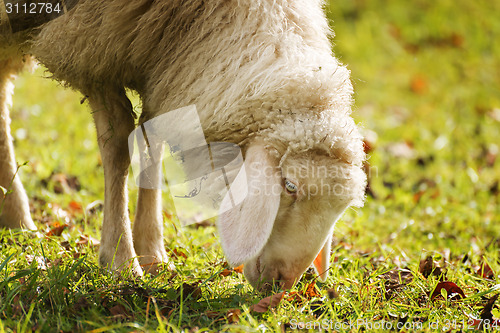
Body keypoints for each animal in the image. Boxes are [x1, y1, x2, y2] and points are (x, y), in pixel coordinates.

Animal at [0, 0, 368, 288]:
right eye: (290, 186)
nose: (283, 282)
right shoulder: (91, 48)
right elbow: (117, 149)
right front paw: (121, 261)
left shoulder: (165, 64)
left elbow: (152, 143)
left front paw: (152, 254)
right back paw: (19, 215)